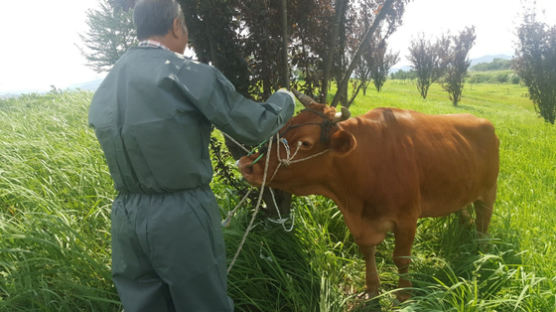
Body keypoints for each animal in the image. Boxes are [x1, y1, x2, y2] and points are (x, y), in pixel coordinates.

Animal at [238, 91, 500, 302]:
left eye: (305, 143)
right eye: (284, 126)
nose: (247, 165)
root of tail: (481, 120)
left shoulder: (407, 218)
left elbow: (401, 258)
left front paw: (404, 294)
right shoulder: (360, 223)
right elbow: (367, 252)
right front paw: (372, 288)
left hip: (489, 191)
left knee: (483, 225)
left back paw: (480, 253)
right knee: (465, 212)